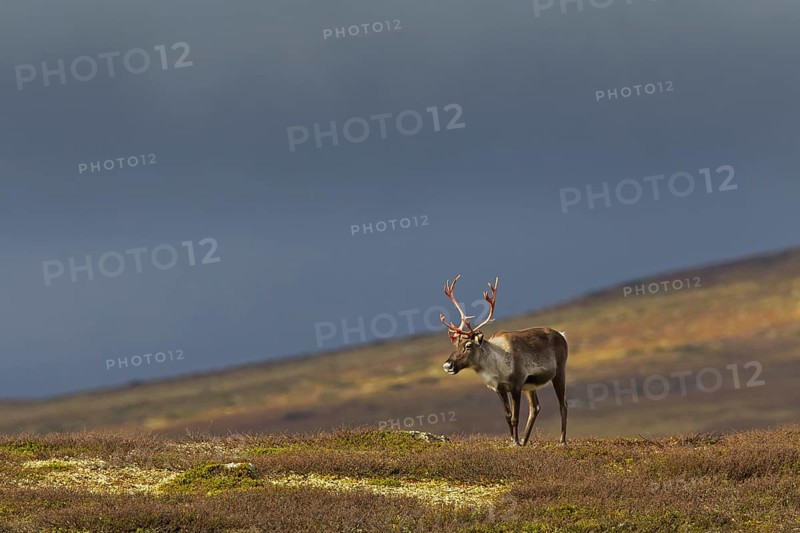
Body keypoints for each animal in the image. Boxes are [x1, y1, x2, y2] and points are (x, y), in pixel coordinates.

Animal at [439, 275, 569, 446]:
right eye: (454, 345)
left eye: (468, 345)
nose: (447, 365)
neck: (496, 366)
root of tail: (562, 335)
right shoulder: (500, 389)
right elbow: (507, 416)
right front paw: (513, 440)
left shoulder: (516, 385)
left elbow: (515, 417)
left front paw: (515, 443)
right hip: (531, 386)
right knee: (535, 408)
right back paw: (525, 440)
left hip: (559, 372)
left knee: (563, 404)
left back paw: (562, 441)